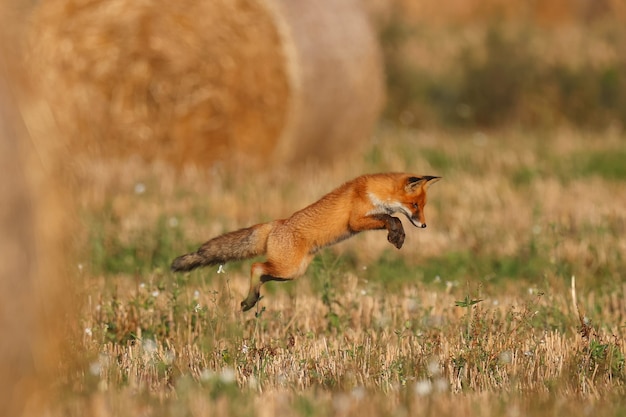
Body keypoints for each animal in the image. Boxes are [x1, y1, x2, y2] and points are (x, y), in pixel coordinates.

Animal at [171, 171, 438, 310]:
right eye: (415, 205)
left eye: (423, 206)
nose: (425, 225)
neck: (375, 192)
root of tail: (276, 223)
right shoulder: (356, 221)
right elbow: (392, 217)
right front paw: (396, 234)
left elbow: (393, 218)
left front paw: (398, 236)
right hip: (287, 268)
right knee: (255, 266)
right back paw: (249, 300)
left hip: (292, 272)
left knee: (261, 273)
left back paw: (252, 299)